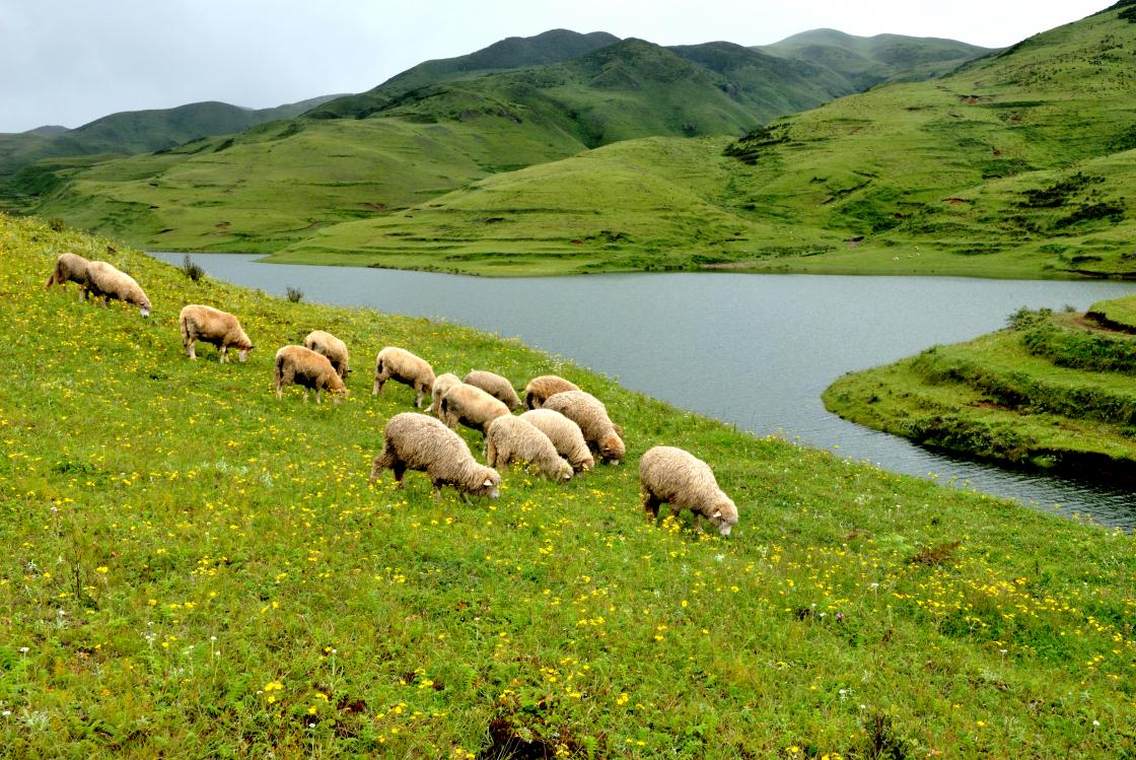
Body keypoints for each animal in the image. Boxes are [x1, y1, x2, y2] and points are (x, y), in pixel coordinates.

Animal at [370, 408, 499, 497]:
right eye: (492, 486)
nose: (497, 497)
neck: (465, 468)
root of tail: (395, 418)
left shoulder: (456, 478)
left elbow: (462, 493)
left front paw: (467, 503)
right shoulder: (438, 471)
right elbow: (437, 488)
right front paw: (438, 502)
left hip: (402, 456)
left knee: (398, 471)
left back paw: (400, 488)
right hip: (392, 450)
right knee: (378, 463)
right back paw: (373, 482)